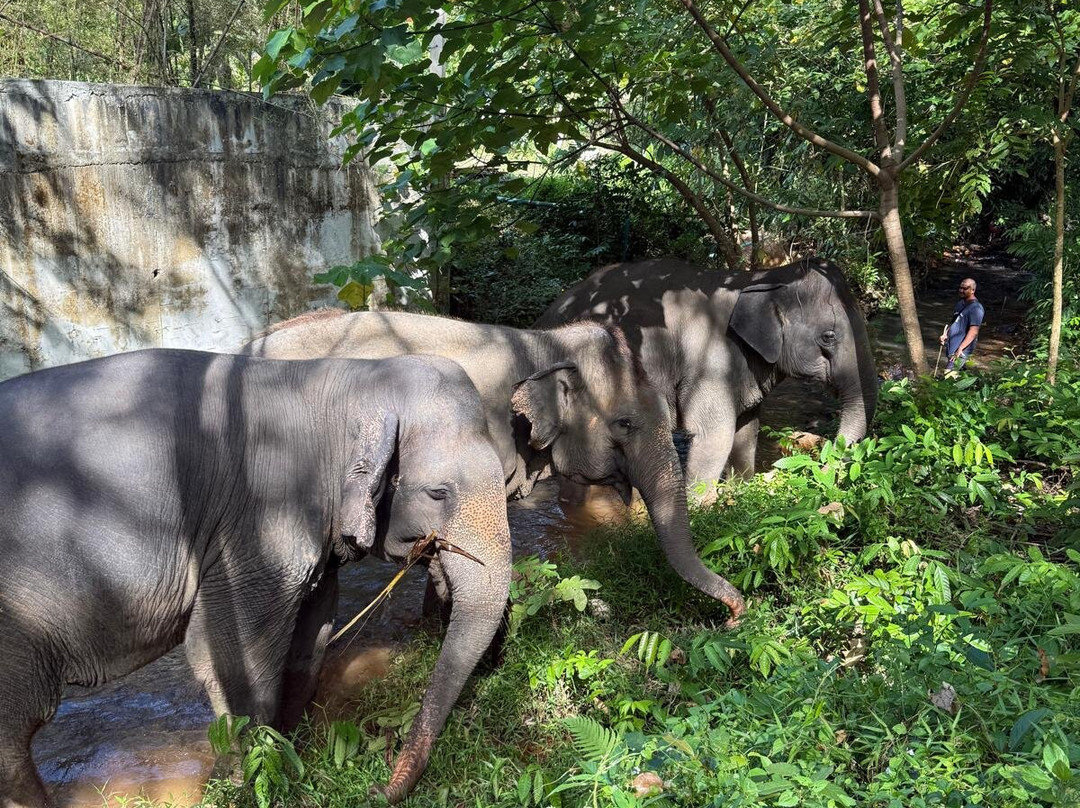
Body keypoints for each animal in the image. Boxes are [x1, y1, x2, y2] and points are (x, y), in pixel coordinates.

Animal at [0, 349, 511, 807]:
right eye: (438, 493)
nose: (377, 790)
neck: (349, 378)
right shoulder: (259, 520)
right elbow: (232, 654)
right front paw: (241, 787)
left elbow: (312, 637)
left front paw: (288, 755)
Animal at [534, 257, 878, 496]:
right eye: (829, 337)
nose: (825, 460)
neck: (762, 277)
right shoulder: (709, 361)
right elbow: (715, 434)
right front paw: (702, 510)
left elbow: (746, 429)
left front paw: (740, 491)